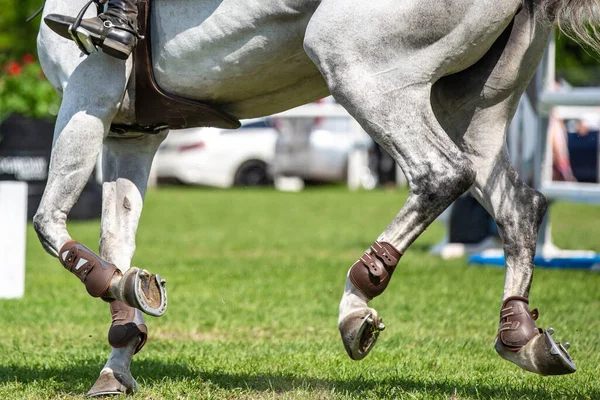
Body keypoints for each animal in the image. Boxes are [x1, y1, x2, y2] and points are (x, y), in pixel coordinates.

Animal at [36, 0, 596, 394]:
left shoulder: (89, 94)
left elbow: (48, 223)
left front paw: (119, 290)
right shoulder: (131, 132)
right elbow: (115, 241)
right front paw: (119, 355)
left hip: (357, 65)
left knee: (439, 174)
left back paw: (357, 301)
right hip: (468, 107)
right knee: (519, 206)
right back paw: (521, 337)